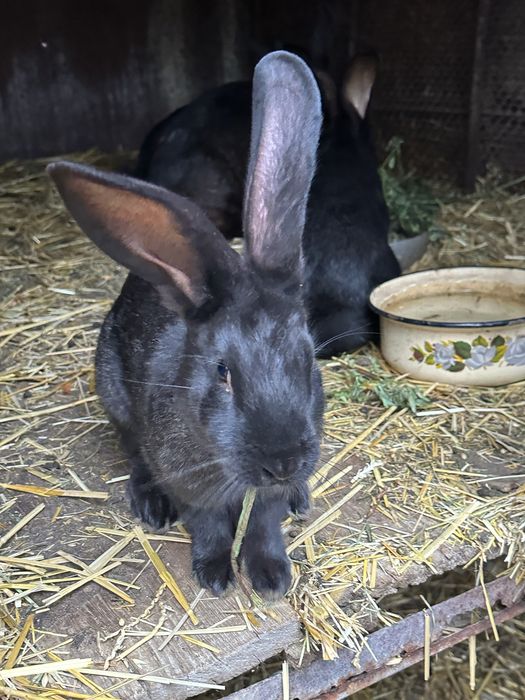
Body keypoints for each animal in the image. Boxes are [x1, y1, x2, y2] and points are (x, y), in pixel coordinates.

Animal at [47, 51, 324, 600]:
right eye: (223, 372)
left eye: (308, 360)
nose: (283, 463)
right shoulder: (189, 482)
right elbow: (211, 524)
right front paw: (215, 575)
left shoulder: (265, 499)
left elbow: (264, 522)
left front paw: (270, 578)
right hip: (115, 396)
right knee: (134, 454)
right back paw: (151, 506)